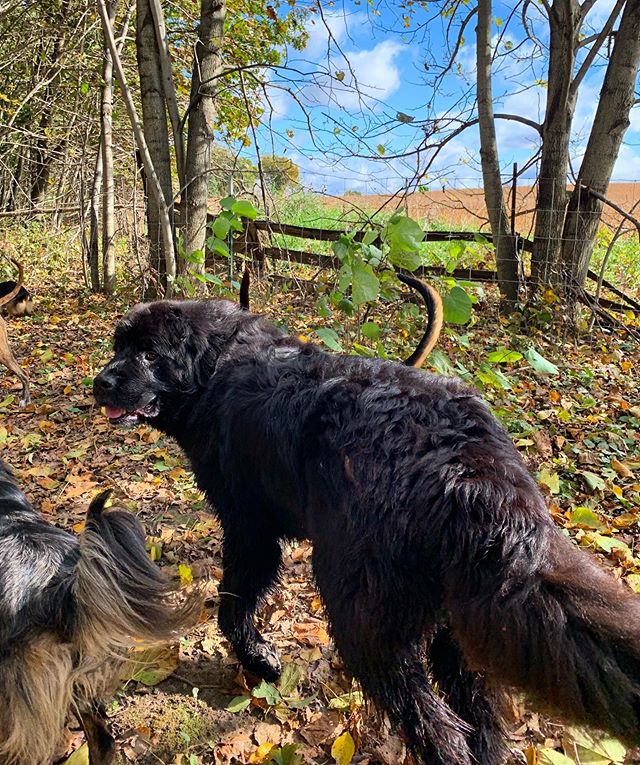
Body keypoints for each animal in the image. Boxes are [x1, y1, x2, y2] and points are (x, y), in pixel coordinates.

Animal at [92, 302, 640, 764]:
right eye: (119, 346)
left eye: (148, 353)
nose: (100, 382)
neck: (212, 369)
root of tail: (465, 468)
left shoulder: (250, 530)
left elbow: (233, 603)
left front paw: (261, 661)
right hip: (456, 622)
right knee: (478, 718)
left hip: (363, 617)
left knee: (435, 727)